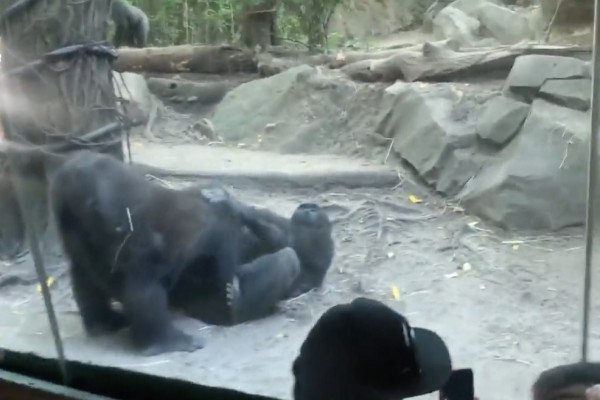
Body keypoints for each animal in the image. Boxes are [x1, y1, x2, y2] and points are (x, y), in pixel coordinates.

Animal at [171, 186, 336, 326]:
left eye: (313, 209)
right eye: (307, 207)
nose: (306, 206)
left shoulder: (311, 237)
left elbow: (279, 240)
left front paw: (231, 203)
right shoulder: (284, 221)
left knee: (289, 258)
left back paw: (239, 302)